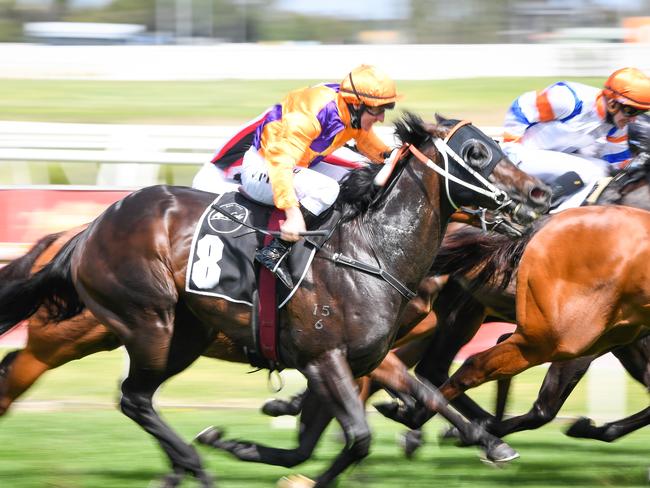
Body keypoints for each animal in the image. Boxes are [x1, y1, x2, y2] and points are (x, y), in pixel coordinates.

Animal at [0, 112, 548, 486]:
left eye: (496, 145)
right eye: (475, 153)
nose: (540, 194)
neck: (368, 250)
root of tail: (91, 227)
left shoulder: (368, 358)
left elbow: (428, 395)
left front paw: (491, 442)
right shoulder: (323, 359)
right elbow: (358, 438)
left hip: (183, 335)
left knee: (129, 396)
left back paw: (182, 466)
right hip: (149, 324)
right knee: (129, 396)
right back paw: (195, 465)